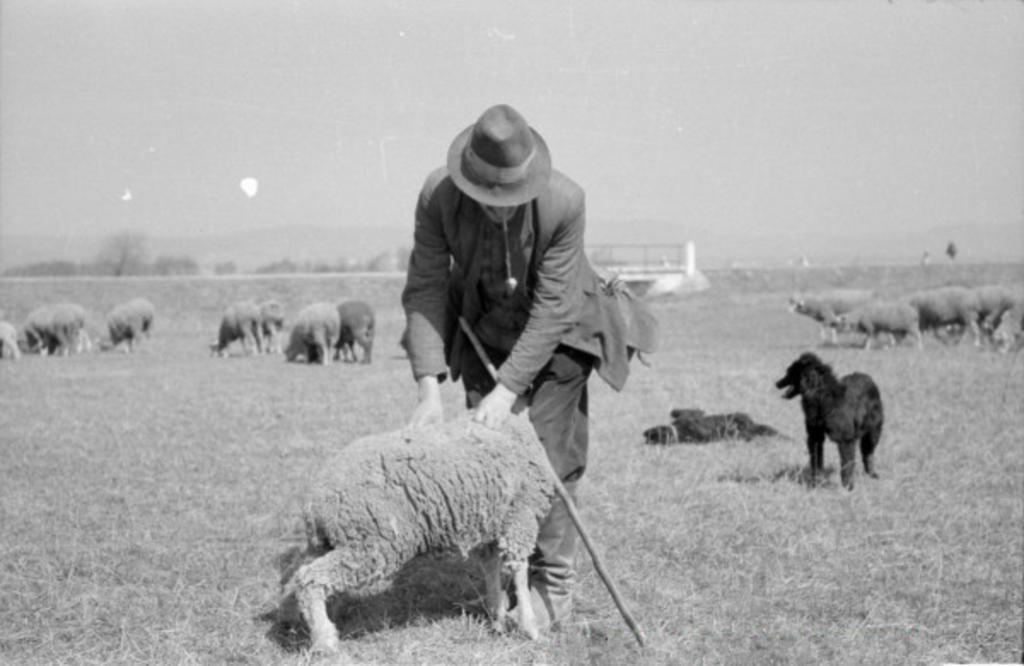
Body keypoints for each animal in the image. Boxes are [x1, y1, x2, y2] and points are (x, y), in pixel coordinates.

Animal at [276, 411, 557, 651]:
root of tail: (314, 501)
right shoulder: (521, 515)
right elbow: (518, 570)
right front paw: (530, 628)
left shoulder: (489, 529)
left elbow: (492, 572)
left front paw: (498, 618)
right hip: (369, 545)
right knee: (310, 579)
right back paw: (326, 642)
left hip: (328, 544)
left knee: (297, 579)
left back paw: (299, 625)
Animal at [770, 352, 884, 487]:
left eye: (790, 372)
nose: (776, 383)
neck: (822, 396)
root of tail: (868, 378)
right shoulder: (815, 436)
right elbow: (816, 461)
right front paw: (816, 482)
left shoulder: (846, 440)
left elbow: (846, 464)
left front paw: (848, 486)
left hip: (873, 432)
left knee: (868, 453)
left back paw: (872, 474)